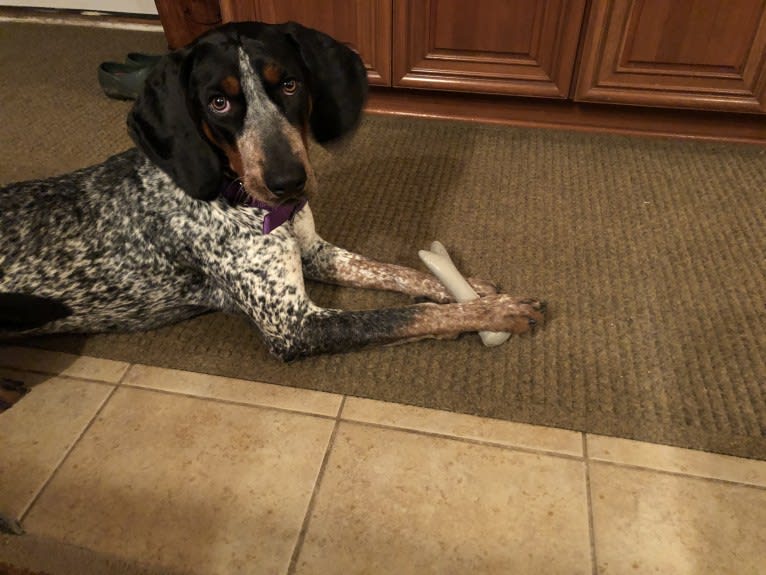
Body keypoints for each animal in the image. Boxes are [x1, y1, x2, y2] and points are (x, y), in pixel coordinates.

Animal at [0, 23, 544, 364]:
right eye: (218, 102)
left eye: (289, 85)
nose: (289, 183)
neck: (241, 198)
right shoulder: (294, 324)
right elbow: (409, 314)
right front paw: (492, 312)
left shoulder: (315, 251)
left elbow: (396, 272)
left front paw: (472, 287)